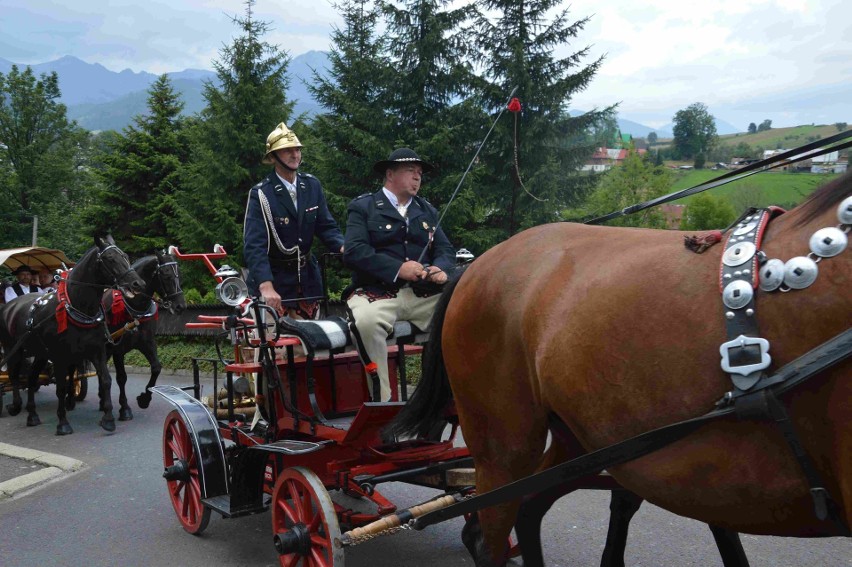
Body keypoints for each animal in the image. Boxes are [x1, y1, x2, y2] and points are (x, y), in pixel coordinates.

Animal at [0, 235, 144, 434]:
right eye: (110, 259)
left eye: (125, 256)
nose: (137, 284)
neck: (77, 307)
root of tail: (10, 306)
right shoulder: (60, 356)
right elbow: (61, 388)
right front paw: (63, 424)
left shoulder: (97, 350)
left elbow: (106, 380)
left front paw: (108, 418)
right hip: (13, 350)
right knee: (14, 376)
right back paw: (15, 405)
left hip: (40, 354)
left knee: (31, 378)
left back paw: (32, 415)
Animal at [101, 251, 185, 420]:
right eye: (166, 275)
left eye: (179, 274)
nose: (180, 306)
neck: (133, 308)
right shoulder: (118, 349)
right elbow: (121, 377)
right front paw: (125, 408)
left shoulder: (147, 343)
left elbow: (156, 368)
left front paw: (145, 399)